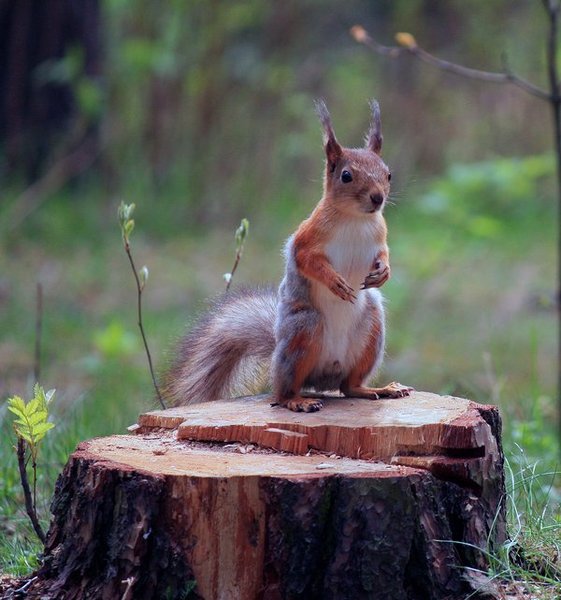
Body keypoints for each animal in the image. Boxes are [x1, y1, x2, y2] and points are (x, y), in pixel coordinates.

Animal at [162, 99, 412, 412]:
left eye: (388, 173)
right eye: (346, 175)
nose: (378, 198)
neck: (356, 219)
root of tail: (322, 378)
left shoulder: (380, 236)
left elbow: (383, 252)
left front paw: (384, 272)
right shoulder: (306, 238)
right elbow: (306, 260)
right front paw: (334, 282)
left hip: (372, 328)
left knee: (349, 387)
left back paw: (377, 389)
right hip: (305, 330)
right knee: (281, 393)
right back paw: (298, 401)